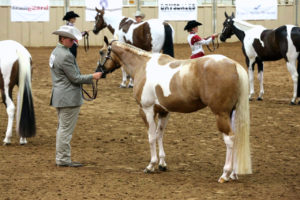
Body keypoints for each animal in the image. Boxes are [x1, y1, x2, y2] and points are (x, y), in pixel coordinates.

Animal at [97, 37, 252, 183]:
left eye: (101, 52)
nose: (99, 72)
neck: (142, 65)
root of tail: (234, 65)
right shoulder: (163, 112)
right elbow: (159, 135)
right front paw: (162, 164)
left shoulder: (147, 110)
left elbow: (151, 137)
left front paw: (151, 165)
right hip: (231, 113)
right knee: (236, 138)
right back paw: (233, 174)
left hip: (221, 114)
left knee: (230, 139)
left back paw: (225, 174)